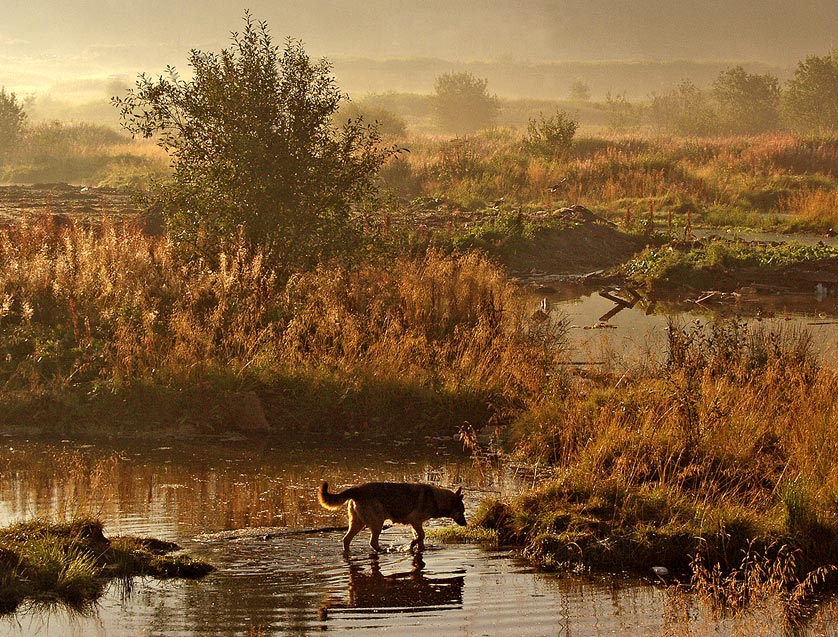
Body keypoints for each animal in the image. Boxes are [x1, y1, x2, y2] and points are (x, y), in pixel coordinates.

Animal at [318, 480, 470, 548]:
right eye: (461, 512)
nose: (466, 524)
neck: (437, 499)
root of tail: (357, 489)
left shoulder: (415, 524)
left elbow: (420, 538)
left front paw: (417, 547)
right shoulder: (415, 521)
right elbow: (421, 536)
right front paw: (411, 544)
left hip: (357, 523)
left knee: (346, 540)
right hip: (377, 523)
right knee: (372, 542)